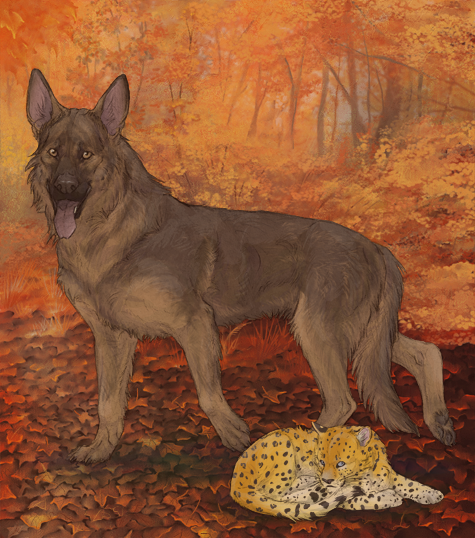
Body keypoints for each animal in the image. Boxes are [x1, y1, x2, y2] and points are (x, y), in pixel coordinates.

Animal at [26, 69, 455, 463]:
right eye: (53, 153)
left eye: (86, 155)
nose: (64, 190)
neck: (115, 233)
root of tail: (377, 247)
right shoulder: (112, 338)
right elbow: (109, 404)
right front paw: (101, 450)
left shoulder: (195, 324)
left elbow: (208, 394)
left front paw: (235, 436)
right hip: (365, 334)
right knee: (426, 353)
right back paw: (440, 422)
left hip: (319, 333)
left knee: (343, 402)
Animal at [231, 424, 444, 520]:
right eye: (321, 461)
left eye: (341, 463)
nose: (326, 479)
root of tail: (235, 484)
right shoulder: (345, 495)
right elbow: (361, 500)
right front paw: (389, 497)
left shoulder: (387, 475)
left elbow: (407, 483)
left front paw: (432, 494)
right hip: (283, 447)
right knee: (279, 495)